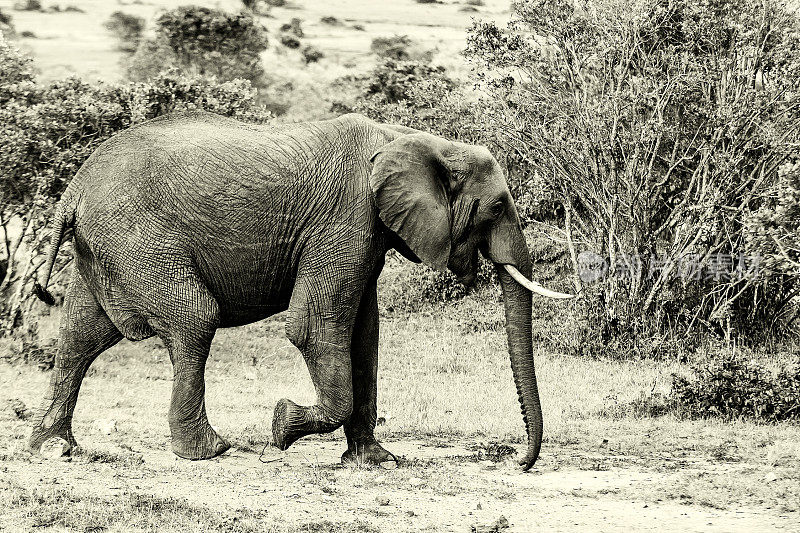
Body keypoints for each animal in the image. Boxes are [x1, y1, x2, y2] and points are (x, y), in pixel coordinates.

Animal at [28, 110, 572, 468]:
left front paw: (375, 461)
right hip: (138, 238)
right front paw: (282, 426)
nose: (517, 462)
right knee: (194, 319)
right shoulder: (347, 218)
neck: (416, 140)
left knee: (80, 337)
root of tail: (75, 188)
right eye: (497, 207)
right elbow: (315, 327)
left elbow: (363, 335)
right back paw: (209, 452)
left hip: (104, 247)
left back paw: (53, 448)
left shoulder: (366, 231)